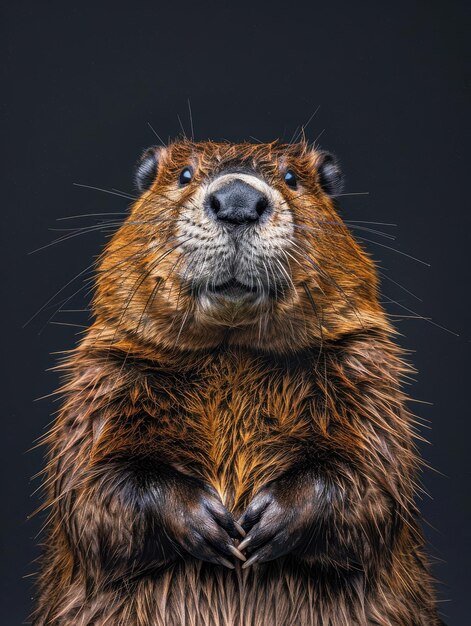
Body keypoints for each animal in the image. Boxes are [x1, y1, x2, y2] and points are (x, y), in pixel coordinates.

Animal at [32, 139, 442, 620]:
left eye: (292, 178)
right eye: (184, 175)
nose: (237, 201)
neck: (234, 355)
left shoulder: (365, 373)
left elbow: (374, 477)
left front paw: (268, 521)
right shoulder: (104, 378)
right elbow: (92, 487)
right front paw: (207, 522)